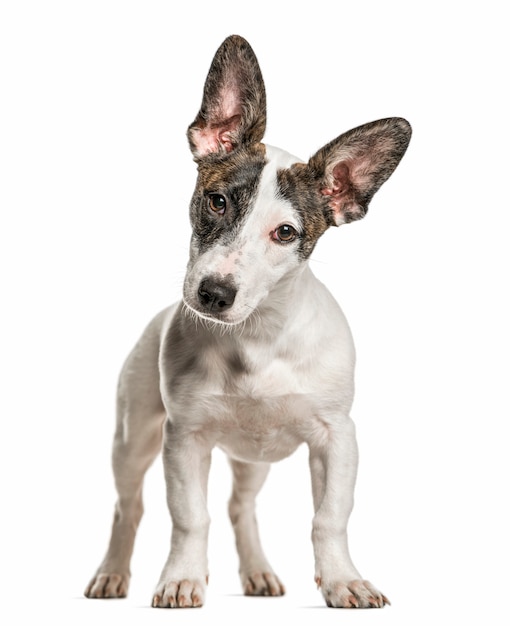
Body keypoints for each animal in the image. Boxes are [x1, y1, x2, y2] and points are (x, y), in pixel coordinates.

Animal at [83, 33, 410, 604]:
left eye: (286, 233)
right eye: (216, 201)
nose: (213, 293)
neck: (257, 337)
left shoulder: (337, 439)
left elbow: (330, 518)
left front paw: (342, 579)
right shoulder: (183, 440)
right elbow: (190, 517)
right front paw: (182, 577)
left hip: (252, 460)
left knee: (242, 506)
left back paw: (257, 570)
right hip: (133, 439)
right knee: (129, 506)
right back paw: (113, 571)